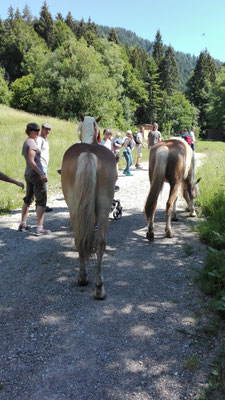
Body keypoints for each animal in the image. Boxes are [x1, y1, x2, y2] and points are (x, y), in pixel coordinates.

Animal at [61, 114, 116, 298]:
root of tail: (89, 153)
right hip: (103, 207)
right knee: (99, 242)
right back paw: (97, 287)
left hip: (74, 208)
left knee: (82, 239)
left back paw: (86, 280)